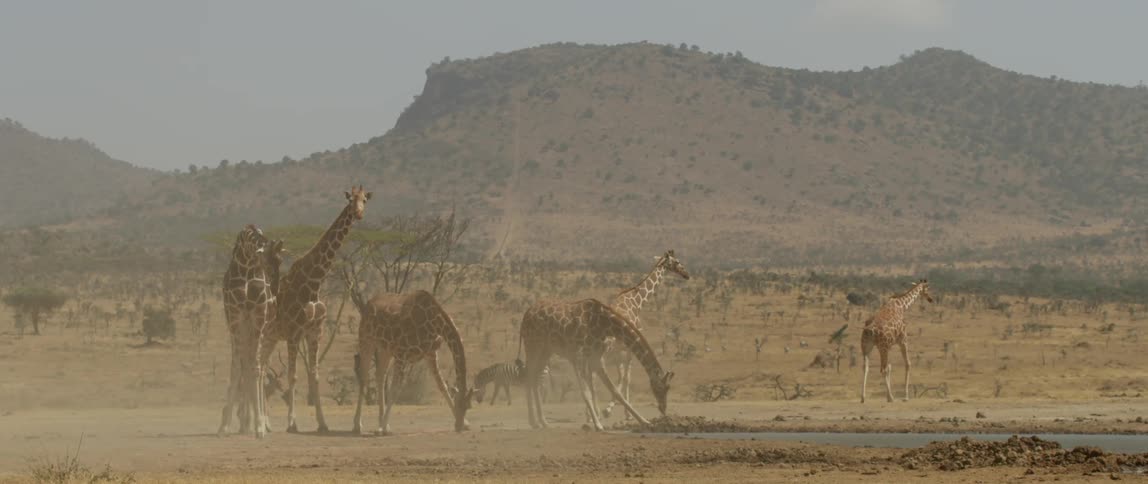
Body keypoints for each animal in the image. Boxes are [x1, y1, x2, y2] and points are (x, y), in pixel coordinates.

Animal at [217, 225, 284, 438]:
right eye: (266, 262)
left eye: (280, 260)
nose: (275, 288)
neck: (246, 262)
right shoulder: (236, 317)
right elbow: (237, 368)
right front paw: (224, 426)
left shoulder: (258, 317)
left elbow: (254, 368)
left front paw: (260, 426)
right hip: (240, 330)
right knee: (243, 364)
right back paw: (244, 422)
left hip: (264, 332)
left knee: (259, 368)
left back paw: (256, 421)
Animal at [260, 185, 371, 433]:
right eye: (350, 200)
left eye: (365, 200)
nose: (359, 214)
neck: (314, 282)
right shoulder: (294, 333)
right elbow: (293, 376)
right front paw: (292, 423)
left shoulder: (315, 332)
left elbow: (315, 376)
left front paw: (323, 423)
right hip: (262, 336)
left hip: (271, 338)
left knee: (260, 369)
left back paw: (266, 423)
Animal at [350, 289, 472, 435]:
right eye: (458, 403)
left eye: (468, 406)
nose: (458, 426)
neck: (434, 323)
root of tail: (368, 304)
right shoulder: (401, 353)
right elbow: (395, 389)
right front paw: (383, 427)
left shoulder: (430, 353)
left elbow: (442, 385)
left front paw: (466, 424)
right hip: (366, 339)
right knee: (364, 377)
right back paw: (358, 425)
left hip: (385, 349)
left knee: (380, 375)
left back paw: (380, 421)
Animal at [520, 298, 674, 431]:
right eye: (661, 388)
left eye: (668, 388)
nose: (663, 408)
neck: (604, 324)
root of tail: (526, 314)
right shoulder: (579, 357)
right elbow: (586, 392)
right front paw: (598, 424)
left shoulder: (596, 358)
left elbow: (615, 391)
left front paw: (645, 421)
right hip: (533, 345)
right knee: (529, 376)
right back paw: (533, 422)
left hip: (546, 350)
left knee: (535, 378)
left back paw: (543, 422)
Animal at [603, 249, 688, 417]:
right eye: (676, 262)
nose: (686, 274)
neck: (637, 302)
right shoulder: (628, 348)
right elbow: (626, 377)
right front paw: (624, 412)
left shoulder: (620, 351)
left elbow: (622, 376)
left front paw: (620, 409)